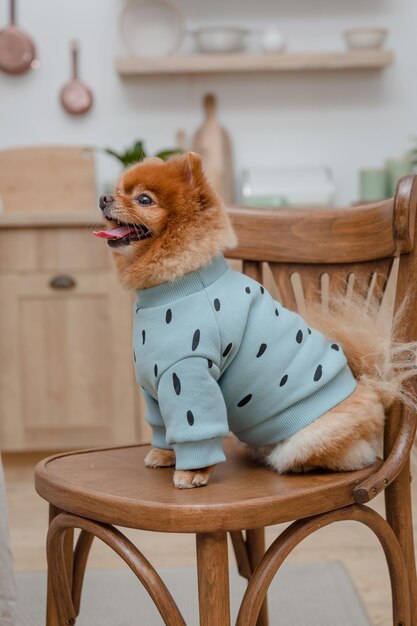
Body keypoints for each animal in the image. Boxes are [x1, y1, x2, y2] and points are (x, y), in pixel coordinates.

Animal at [94, 151, 416, 488]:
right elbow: (162, 426)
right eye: (117, 191)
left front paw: (193, 471)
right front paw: (163, 455)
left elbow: (196, 427)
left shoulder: (190, 373)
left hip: (313, 437)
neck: (173, 286)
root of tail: (374, 393)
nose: (103, 198)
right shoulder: (154, 382)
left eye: (144, 199)